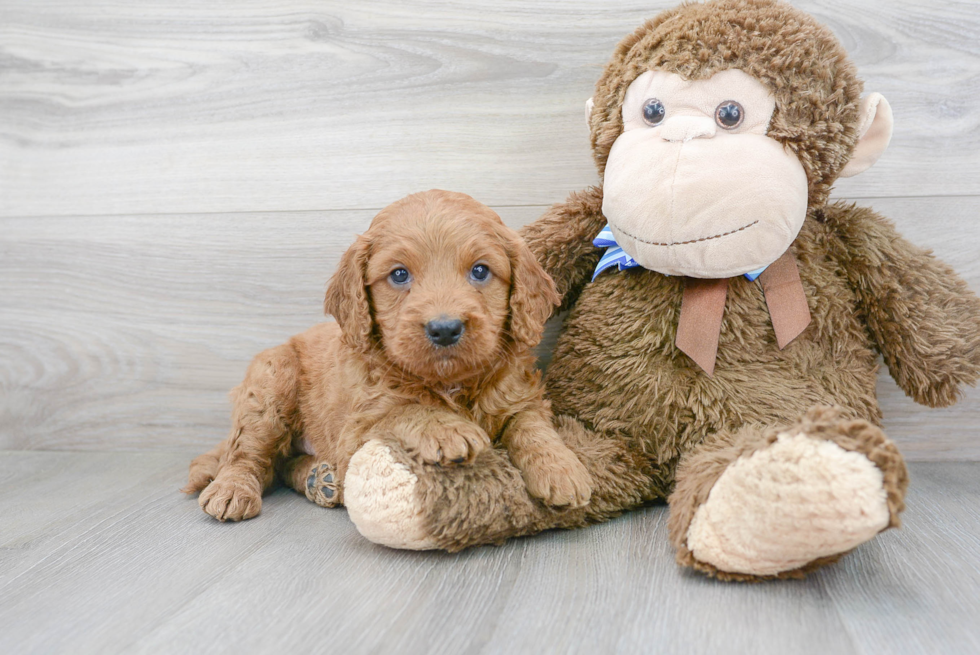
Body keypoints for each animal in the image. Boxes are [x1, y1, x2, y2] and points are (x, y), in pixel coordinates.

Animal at [187, 190, 592, 524]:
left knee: (282, 465)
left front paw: (562, 469)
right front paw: (449, 428)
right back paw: (233, 489)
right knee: (249, 456)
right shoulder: (356, 431)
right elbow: (404, 410)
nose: (445, 328)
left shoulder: (520, 395)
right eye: (399, 275)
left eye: (480, 271)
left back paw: (320, 479)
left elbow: (531, 425)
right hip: (270, 386)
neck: (450, 383)